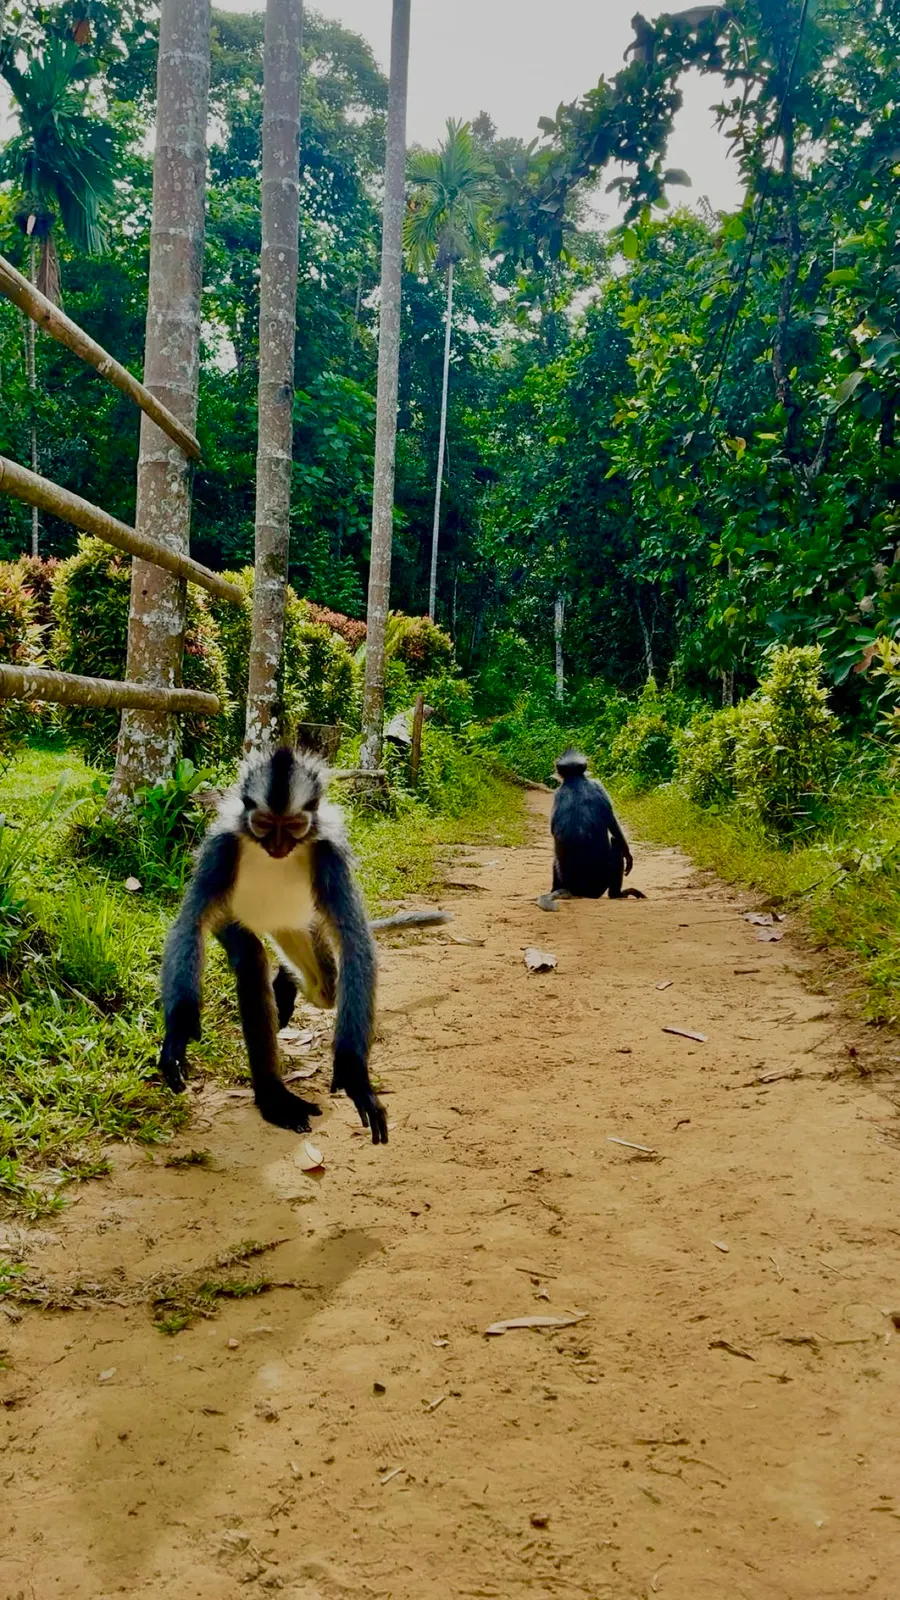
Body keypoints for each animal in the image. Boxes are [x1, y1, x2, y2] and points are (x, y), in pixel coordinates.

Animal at [158, 746, 389, 1144]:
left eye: (294, 825)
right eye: (264, 823)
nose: (278, 846)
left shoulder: (329, 854)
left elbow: (355, 941)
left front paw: (354, 1073)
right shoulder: (221, 848)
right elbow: (191, 923)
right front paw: (178, 1032)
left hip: (300, 928)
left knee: (326, 987)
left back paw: (287, 984)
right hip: (236, 920)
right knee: (252, 959)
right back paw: (274, 1097)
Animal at [541, 749, 646, 906]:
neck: (575, 780)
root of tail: (576, 889)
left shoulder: (560, 793)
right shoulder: (596, 786)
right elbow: (613, 824)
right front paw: (628, 856)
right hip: (601, 883)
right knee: (616, 842)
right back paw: (616, 894)